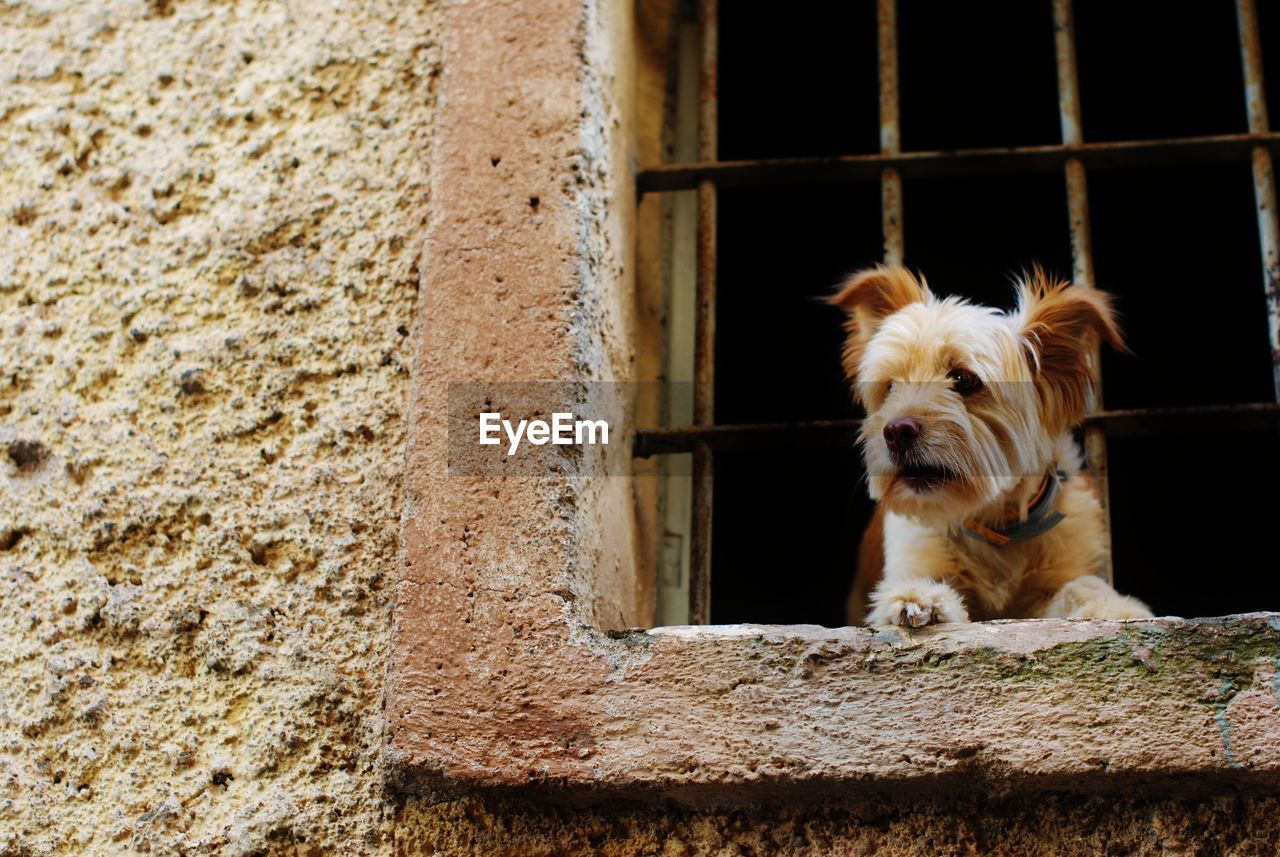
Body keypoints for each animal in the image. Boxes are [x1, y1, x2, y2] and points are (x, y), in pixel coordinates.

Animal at [834, 264, 1157, 626]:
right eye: (890, 386)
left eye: (963, 379)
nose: (896, 431)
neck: (993, 523)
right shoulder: (917, 551)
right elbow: (920, 580)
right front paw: (918, 598)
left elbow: (1080, 585)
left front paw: (1113, 608)